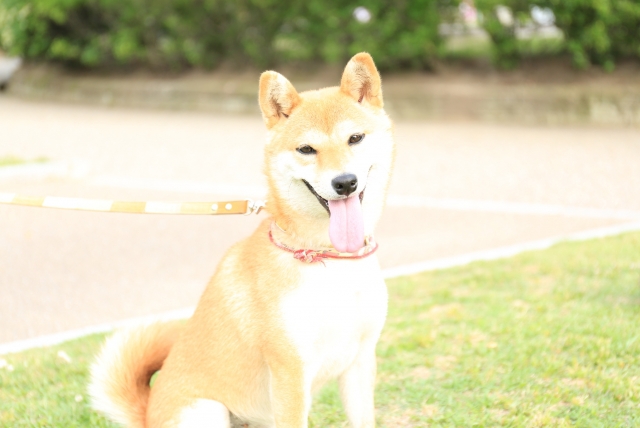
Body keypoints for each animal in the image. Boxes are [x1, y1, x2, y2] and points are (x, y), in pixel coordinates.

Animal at [89, 51, 396, 426]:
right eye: (306, 149)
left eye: (355, 138)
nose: (345, 182)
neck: (327, 257)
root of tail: (147, 416)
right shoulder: (290, 374)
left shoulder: (360, 361)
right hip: (209, 410)